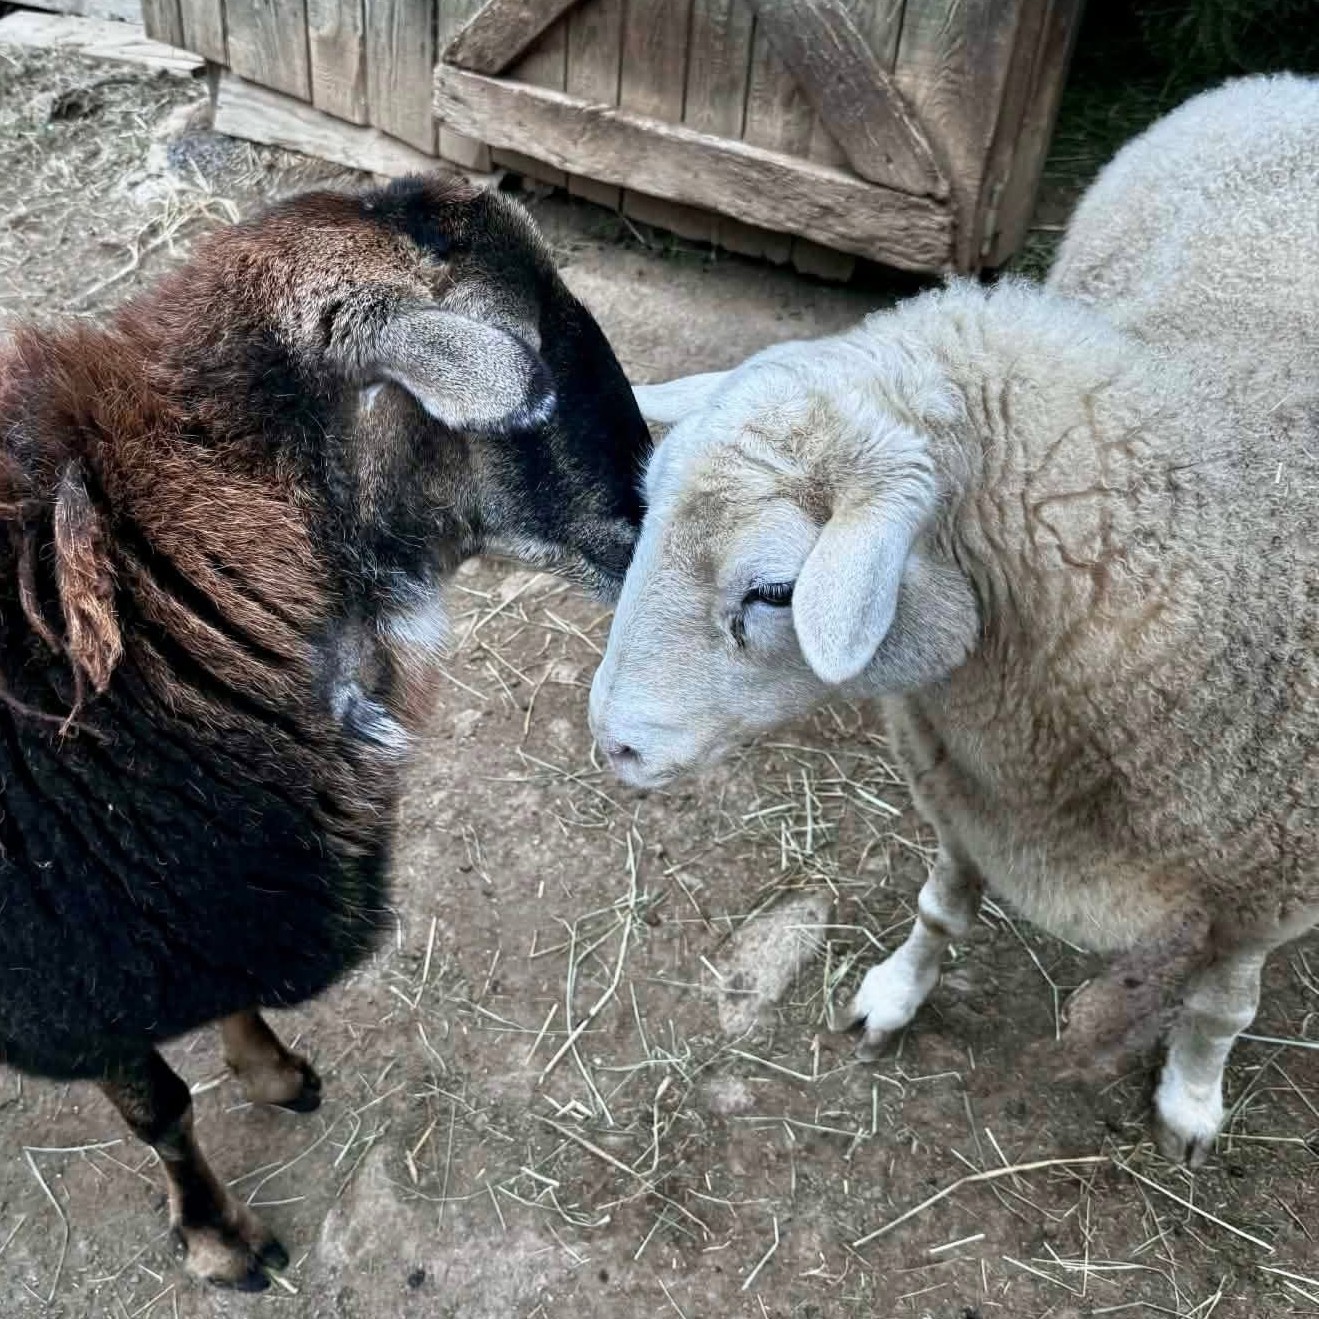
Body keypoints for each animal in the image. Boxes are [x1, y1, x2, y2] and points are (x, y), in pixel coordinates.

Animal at [0, 172, 649, 1289]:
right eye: (525, 344)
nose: (651, 511)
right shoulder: (76, 977)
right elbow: (162, 1109)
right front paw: (220, 1239)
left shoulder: (201, 895)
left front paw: (271, 1070)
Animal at [588, 77, 1319, 1168]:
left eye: (775, 591)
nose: (612, 742)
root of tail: (1283, 86)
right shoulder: (961, 790)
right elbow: (938, 908)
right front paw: (894, 995)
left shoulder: (1265, 892)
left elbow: (1221, 1008)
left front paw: (1191, 1100)